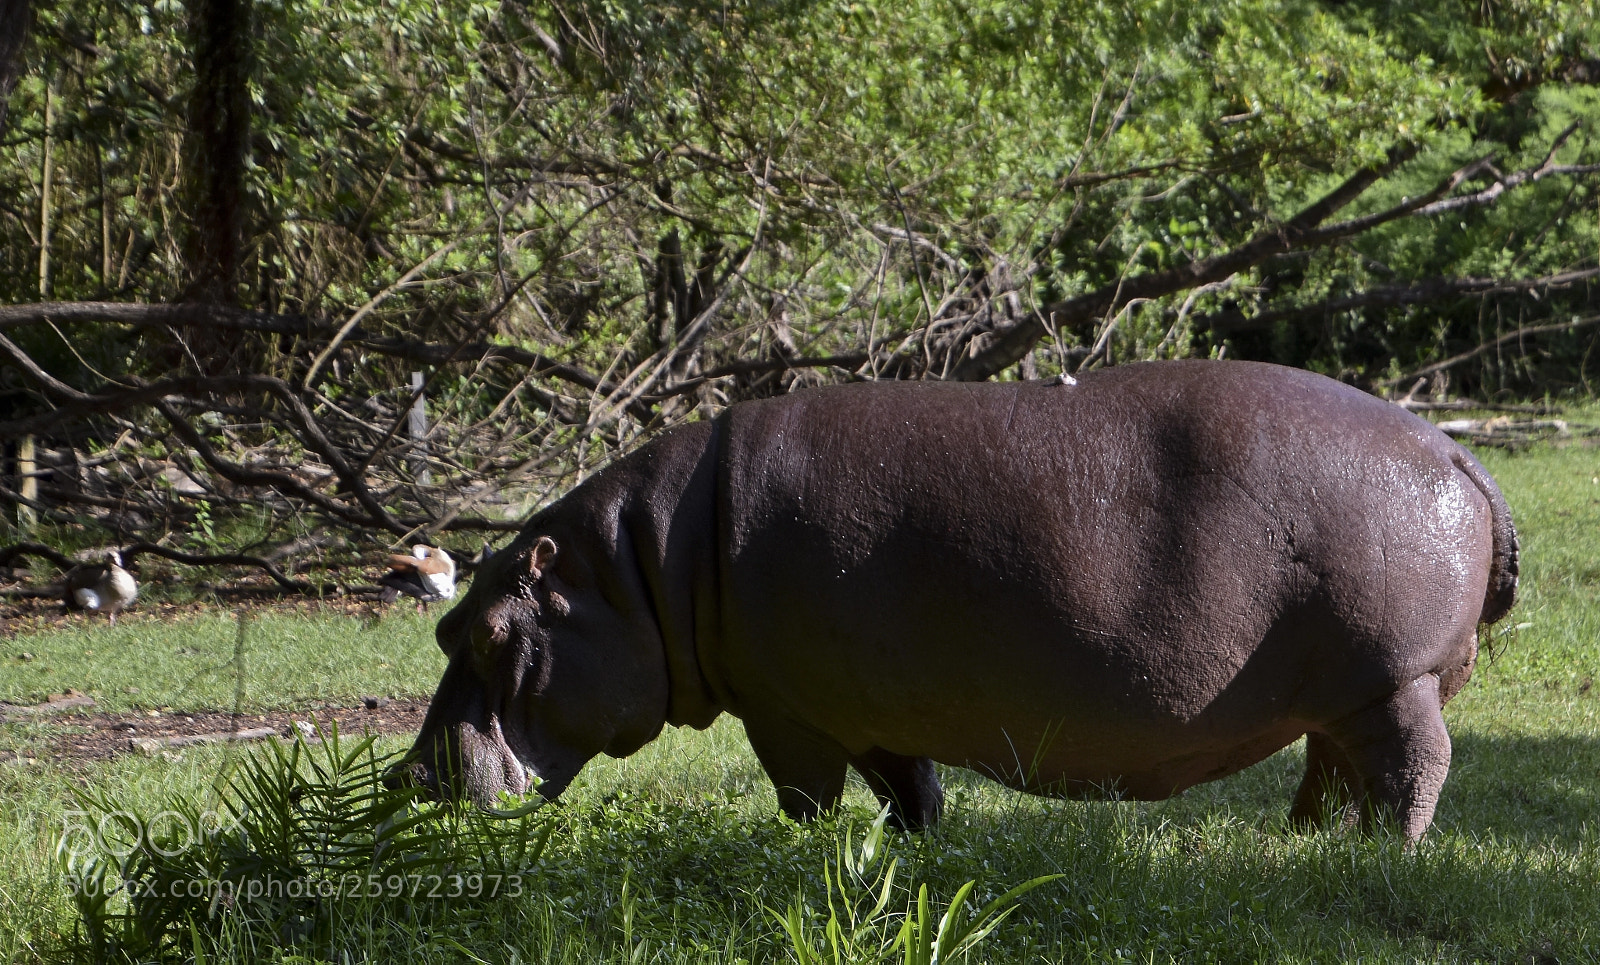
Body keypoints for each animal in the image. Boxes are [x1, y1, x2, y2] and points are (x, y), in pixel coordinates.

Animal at [402, 360, 1517, 842]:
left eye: (488, 632)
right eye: (442, 622)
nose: (409, 776)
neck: (636, 572)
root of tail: (1455, 450)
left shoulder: (785, 709)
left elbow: (806, 793)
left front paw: (801, 853)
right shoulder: (864, 703)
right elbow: (908, 785)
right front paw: (910, 848)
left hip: (1393, 676)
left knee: (1411, 765)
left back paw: (1381, 852)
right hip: (1343, 686)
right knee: (1333, 766)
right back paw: (1300, 842)